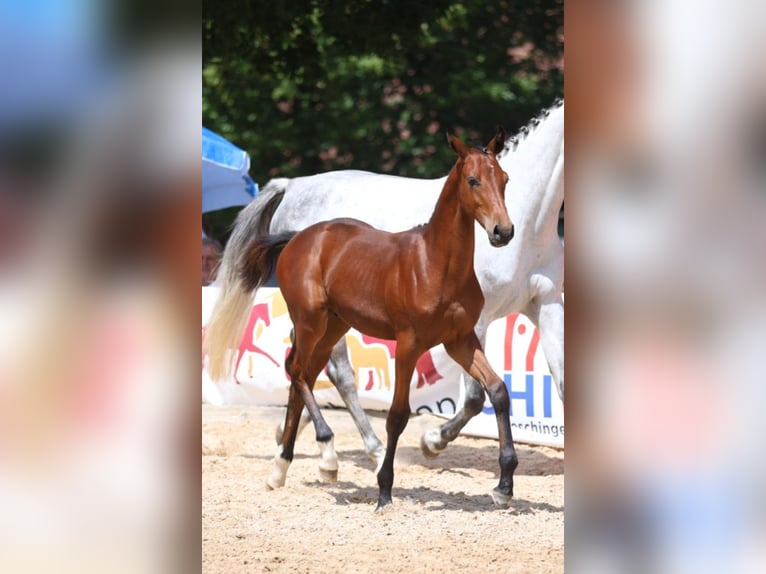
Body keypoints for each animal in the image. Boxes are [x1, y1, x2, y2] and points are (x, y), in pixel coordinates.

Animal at [208, 99, 564, 469]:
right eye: (473, 181)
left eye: (506, 179)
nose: (502, 232)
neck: (531, 221)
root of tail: (291, 185)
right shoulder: (476, 322)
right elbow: (474, 398)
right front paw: (432, 441)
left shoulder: (548, 306)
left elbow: (561, 383)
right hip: (320, 314)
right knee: (333, 371)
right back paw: (362, 447)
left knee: (308, 365)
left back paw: (295, 434)